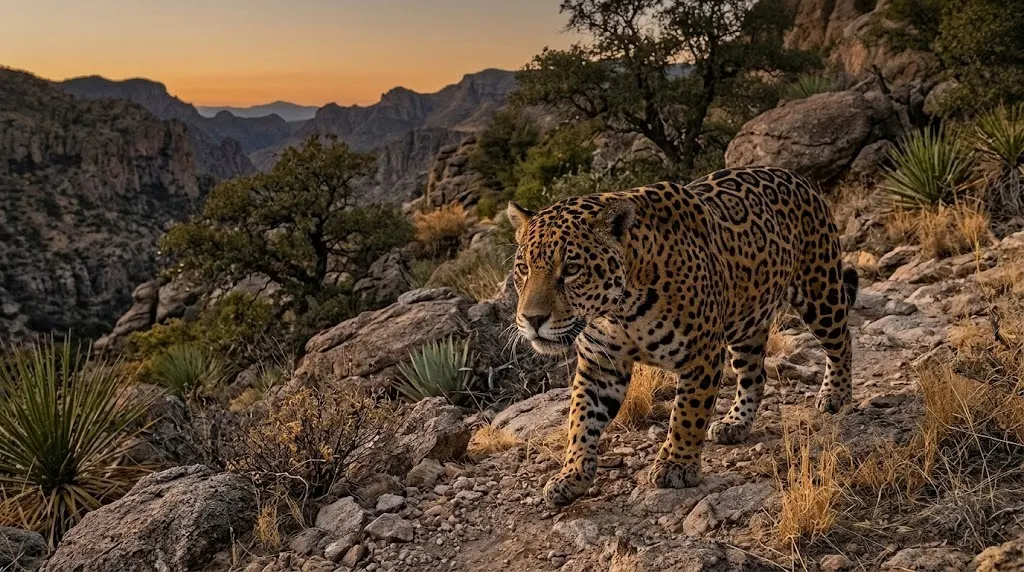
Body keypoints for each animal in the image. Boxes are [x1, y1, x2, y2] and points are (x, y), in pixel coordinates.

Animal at [507, 166, 858, 508]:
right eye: (523, 268)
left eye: (571, 269)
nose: (532, 319)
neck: (618, 310)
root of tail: (799, 177)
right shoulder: (600, 366)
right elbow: (581, 421)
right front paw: (571, 476)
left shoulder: (700, 356)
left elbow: (687, 415)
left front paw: (676, 465)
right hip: (747, 321)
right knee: (754, 375)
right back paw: (735, 424)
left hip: (820, 292)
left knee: (841, 342)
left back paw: (835, 395)